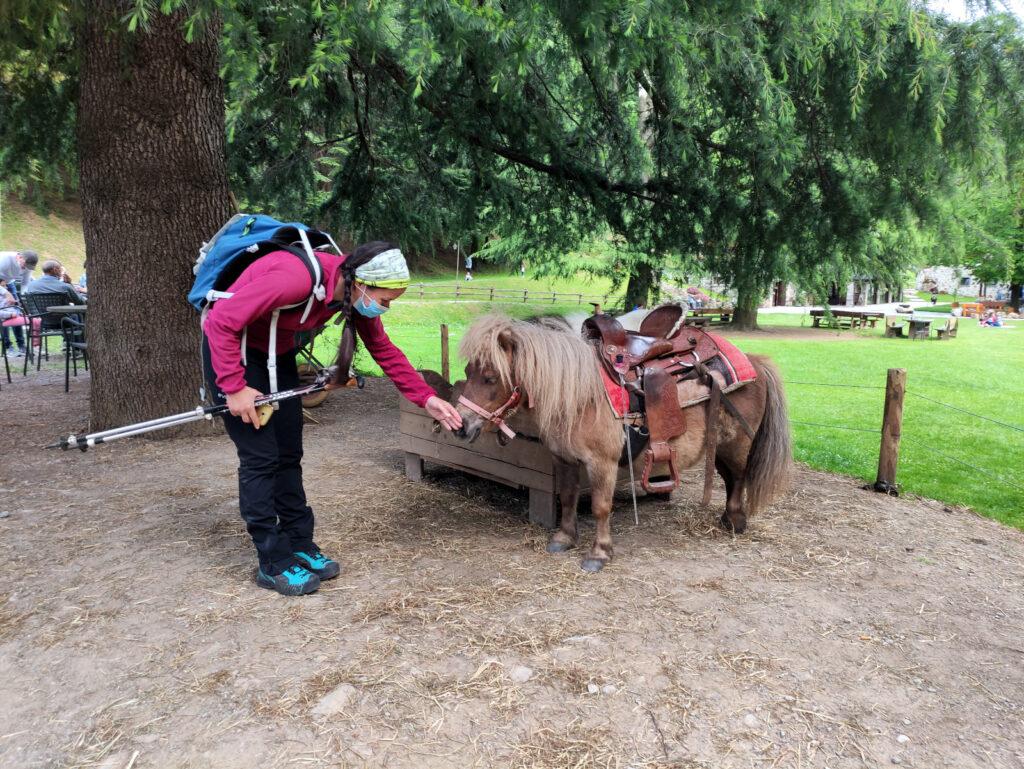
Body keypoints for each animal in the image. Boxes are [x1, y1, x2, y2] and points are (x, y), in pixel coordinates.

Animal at [454, 313, 790, 573]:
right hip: (718, 447)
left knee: (738, 478)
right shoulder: (564, 459)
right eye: (468, 371)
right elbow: (568, 497)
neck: (582, 395)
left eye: (490, 378)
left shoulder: (602, 464)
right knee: (730, 478)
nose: (461, 426)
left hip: (737, 444)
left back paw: (734, 521)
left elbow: (601, 507)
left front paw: (599, 553)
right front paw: (564, 539)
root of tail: (754, 362)